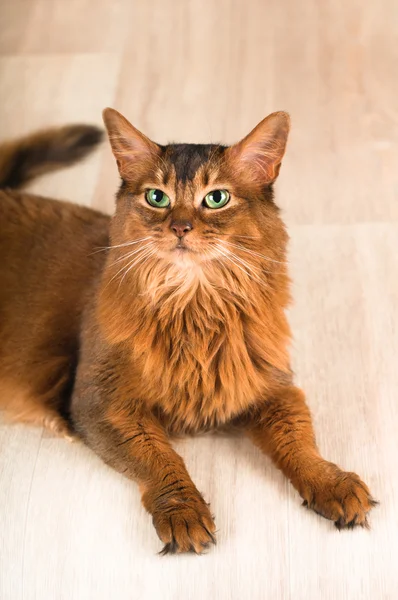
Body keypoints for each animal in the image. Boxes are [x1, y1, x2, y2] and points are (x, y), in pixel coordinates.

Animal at [0, 109, 376, 552]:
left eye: (216, 198)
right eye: (157, 197)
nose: (180, 227)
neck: (194, 308)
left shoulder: (272, 389)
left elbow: (300, 445)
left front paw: (331, 483)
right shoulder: (100, 404)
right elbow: (162, 460)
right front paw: (183, 511)